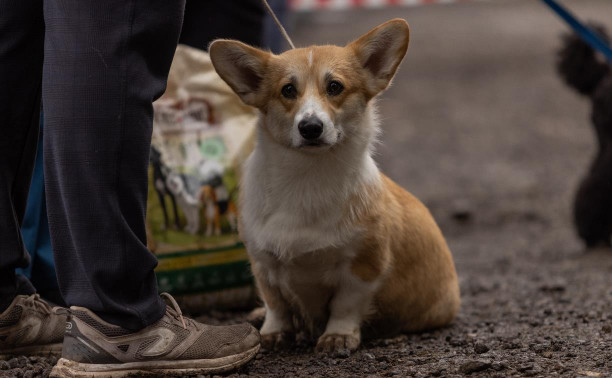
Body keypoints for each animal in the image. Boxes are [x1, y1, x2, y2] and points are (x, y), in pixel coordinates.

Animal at [210, 19, 460, 356]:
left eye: (335, 87)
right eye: (288, 90)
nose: (310, 128)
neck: (307, 178)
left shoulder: (364, 265)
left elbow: (345, 305)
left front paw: (338, 337)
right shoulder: (263, 263)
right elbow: (276, 304)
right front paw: (273, 333)